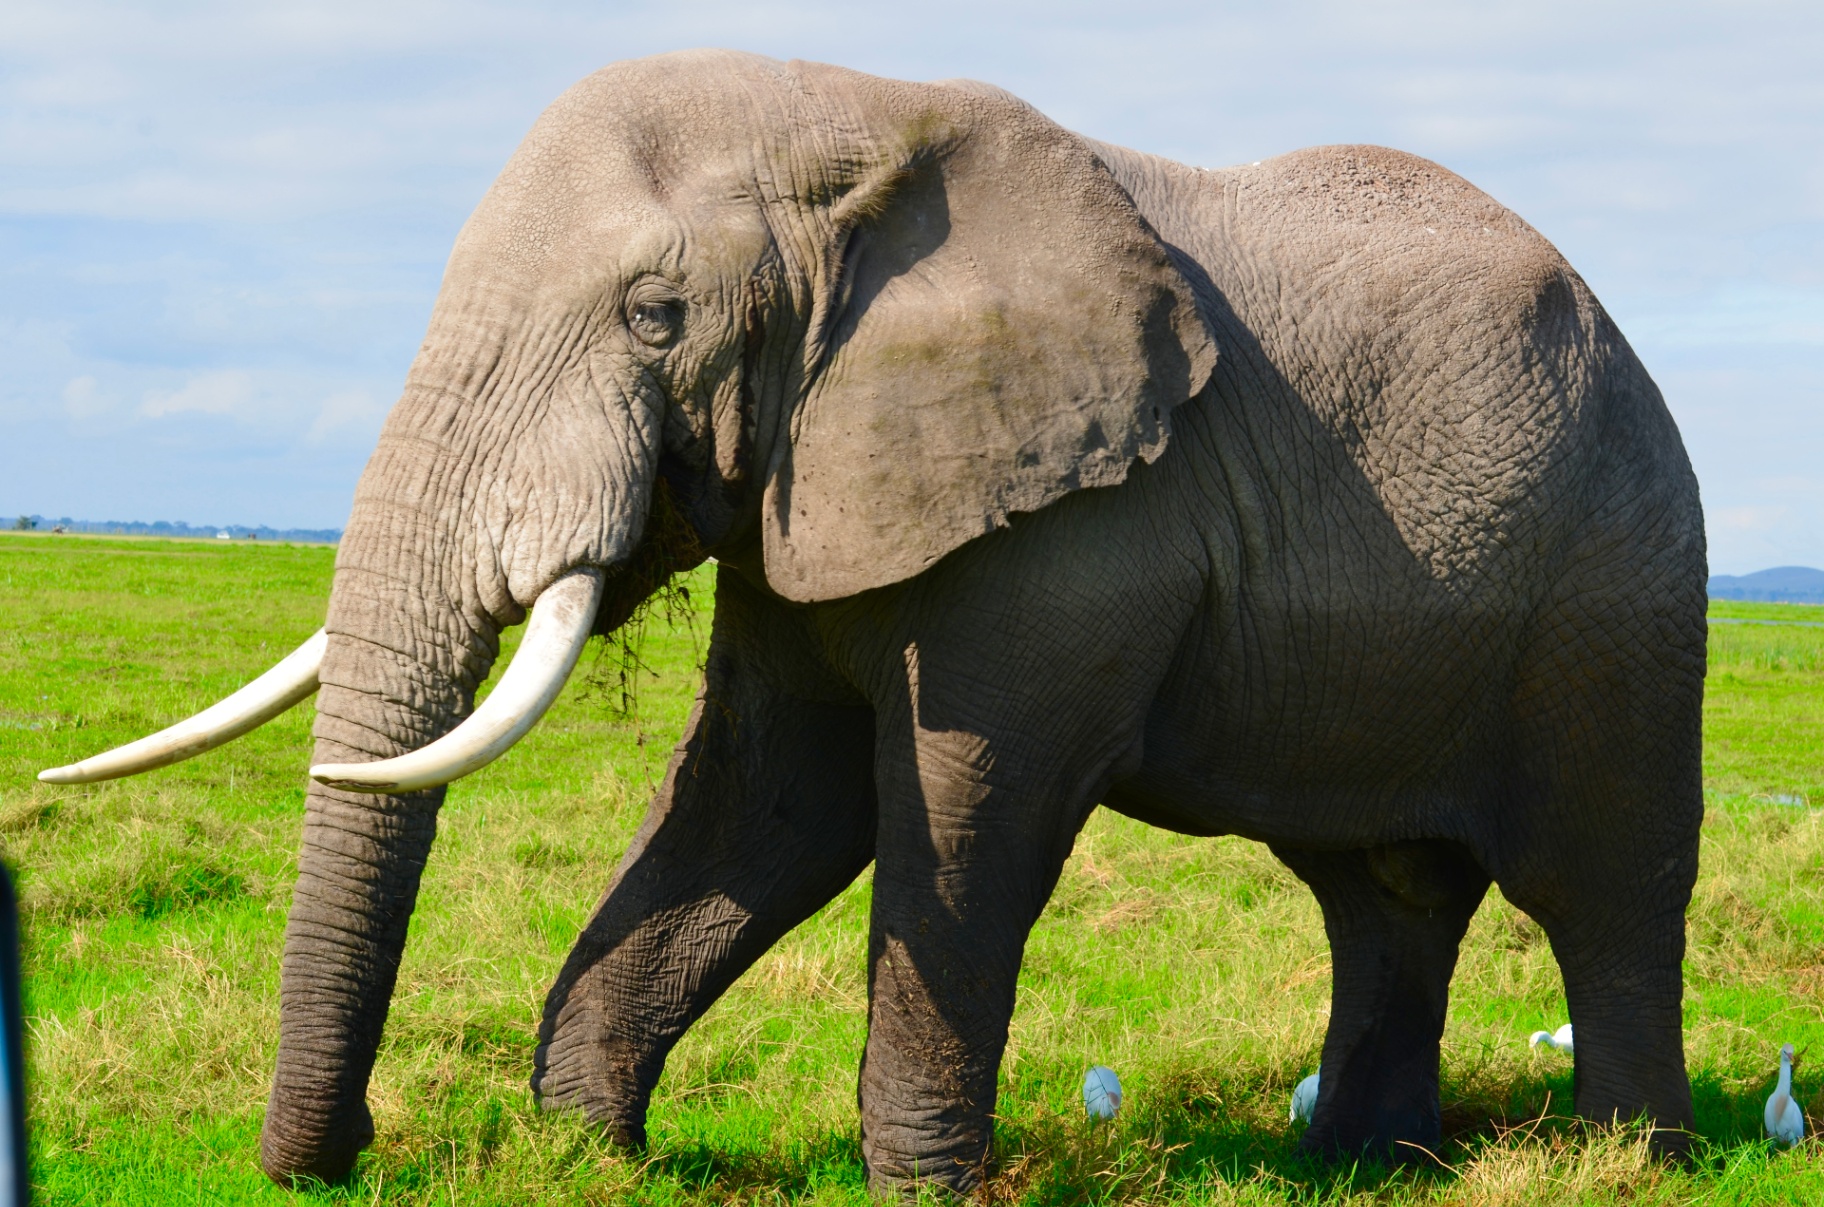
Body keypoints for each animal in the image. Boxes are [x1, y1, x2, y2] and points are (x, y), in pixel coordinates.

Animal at [43, 50, 1706, 1197]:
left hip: (1618, 579)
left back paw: (1630, 1161)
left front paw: (918, 1187)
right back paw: (1364, 1163)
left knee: (1601, 879)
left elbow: (969, 809)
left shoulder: (1082, 524)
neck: (857, 123)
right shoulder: (812, 485)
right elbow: (768, 799)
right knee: (1378, 889)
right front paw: (583, 1152)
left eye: (655, 316)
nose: (333, 1161)